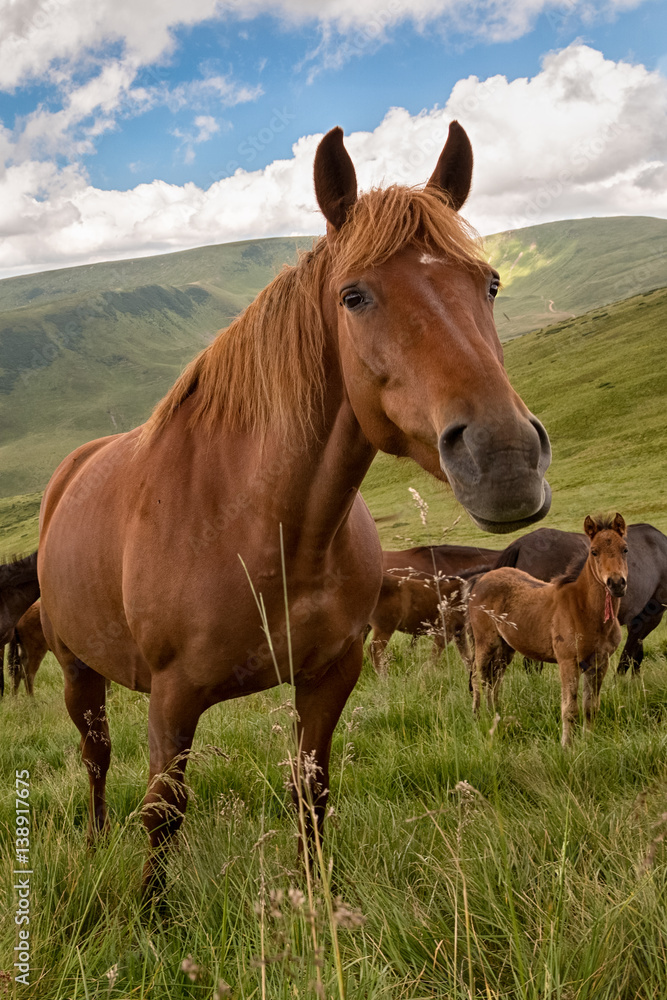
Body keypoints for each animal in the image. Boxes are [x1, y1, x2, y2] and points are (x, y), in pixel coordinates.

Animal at [35, 121, 552, 896]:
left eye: (488, 283)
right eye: (354, 296)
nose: (506, 459)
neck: (265, 526)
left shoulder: (329, 675)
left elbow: (312, 791)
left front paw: (315, 900)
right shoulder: (170, 697)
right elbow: (163, 810)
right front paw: (152, 910)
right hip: (76, 670)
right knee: (95, 757)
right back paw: (97, 844)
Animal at [468, 516, 628, 744]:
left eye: (625, 549)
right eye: (594, 551)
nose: (616, 584)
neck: (583, 608)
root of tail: (481, 579)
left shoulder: (599, 663)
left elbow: (591, 707)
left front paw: (588, 741)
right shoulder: (568, 661)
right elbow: (570, 709)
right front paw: (567, 746)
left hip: (505, 647)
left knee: (495, 678)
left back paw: (495, 714)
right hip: (485, 643)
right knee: (478, 677)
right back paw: (477, 717)